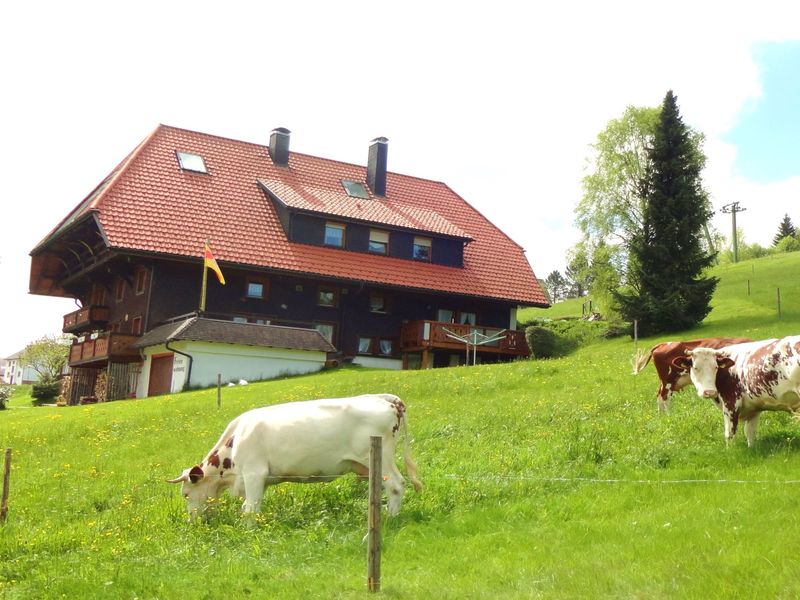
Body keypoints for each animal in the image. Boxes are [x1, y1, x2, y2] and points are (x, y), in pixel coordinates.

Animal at [166, 394, 422, 520]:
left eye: (185, 494)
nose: (192, 520)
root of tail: (387, 400)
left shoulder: (254, 472)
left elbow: (250, 508)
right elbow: (253, 505)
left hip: (380, 456)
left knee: (396, 485)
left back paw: (391, 517)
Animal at [672, 338, 800, 446]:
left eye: (715, 367)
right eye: (695, 367)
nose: (709, 392)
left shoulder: (731, 403)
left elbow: (730, 434)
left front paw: (730, 453)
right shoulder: (754, 408)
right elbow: (750, 433)